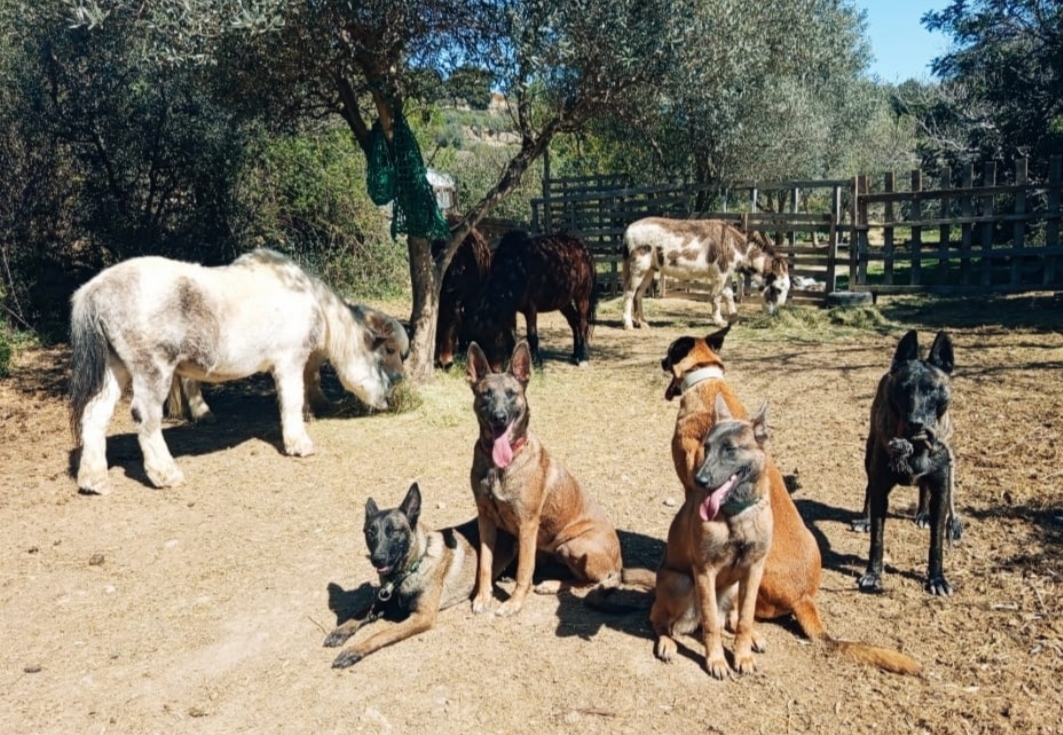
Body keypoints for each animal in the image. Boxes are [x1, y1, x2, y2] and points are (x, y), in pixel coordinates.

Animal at [69, 248, 409, 495]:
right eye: (387, 353)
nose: (392, 395)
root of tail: (94, 291)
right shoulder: (290, 361)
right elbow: (292, 402)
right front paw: (299, 443)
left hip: (116, 368)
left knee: (95, 414)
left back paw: (94, 480)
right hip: (152, 370)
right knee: (146, 417)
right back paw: (166, 473)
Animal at [467, 230, 597, 370]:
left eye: (496, 337)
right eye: (480, 339)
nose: (494, 369)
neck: (516, 268)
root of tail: (583, 248)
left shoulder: (530, 308)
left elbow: (532, 335)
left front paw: (536, 362)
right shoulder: (511, 310)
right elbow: (512, 336)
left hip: (582, 297)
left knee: (582, 323)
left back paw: (583, 357)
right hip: (564, 302)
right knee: (574, 322)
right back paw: (575, 354)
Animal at [621, 217, 791, 329]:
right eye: (779, 289)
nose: (777, 315)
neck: (736, 245)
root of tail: (629, 229)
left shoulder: (727, 275)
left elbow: (729, 296)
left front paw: (734, 319)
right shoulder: (719, 275)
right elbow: (716, 297)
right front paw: (719, 321)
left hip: (649, 271)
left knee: (638, 295)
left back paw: (642, 322)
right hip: (638, 269)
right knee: (629, 293)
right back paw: (628, 324)